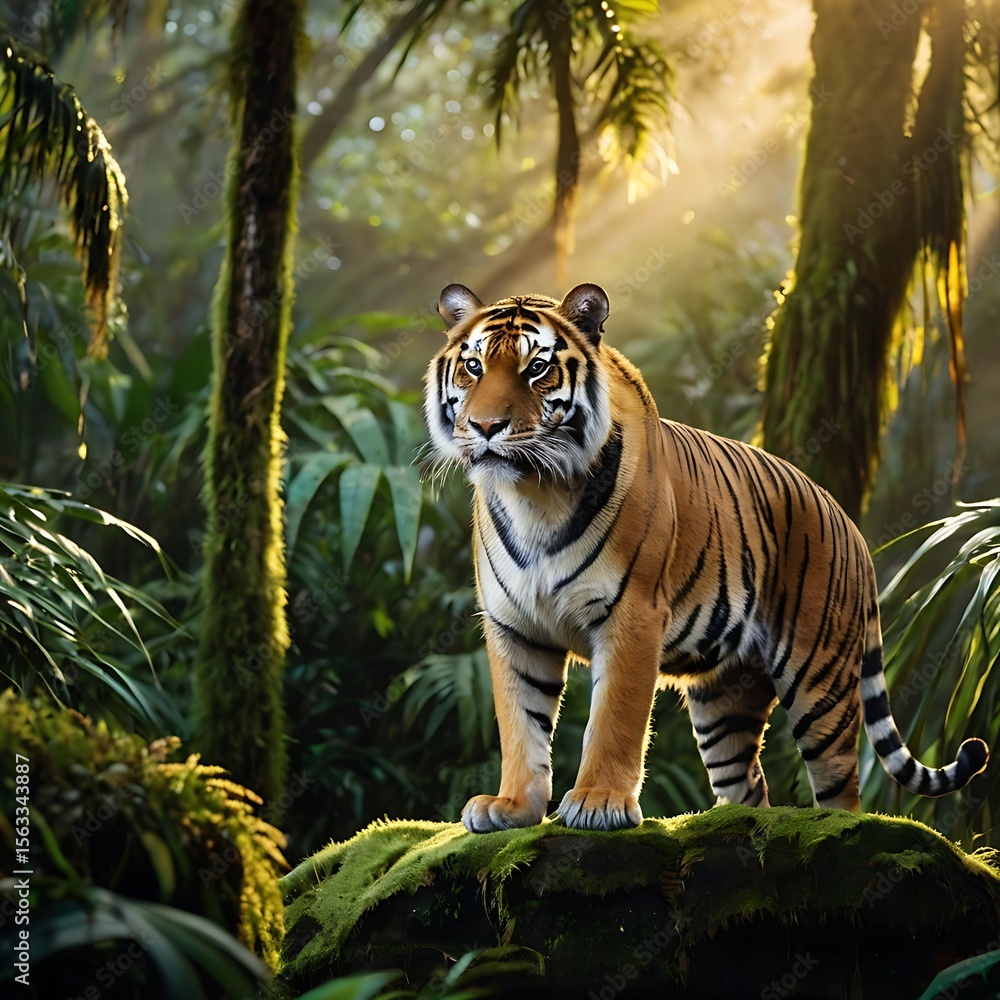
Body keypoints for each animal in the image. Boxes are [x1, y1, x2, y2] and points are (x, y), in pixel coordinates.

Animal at [423, 281, 990, 833]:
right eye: (474, 366)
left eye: (536, 368)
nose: (486, 426)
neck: (534, 494)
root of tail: (848, 522)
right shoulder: (513, 626)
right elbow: (520, 723)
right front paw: (512, 807)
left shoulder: (632, 615)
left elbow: (614, 718)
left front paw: (598, 803)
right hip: (725, 697)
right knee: (749, 785)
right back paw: (732, 824)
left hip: (819, 680)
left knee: (842, 789)